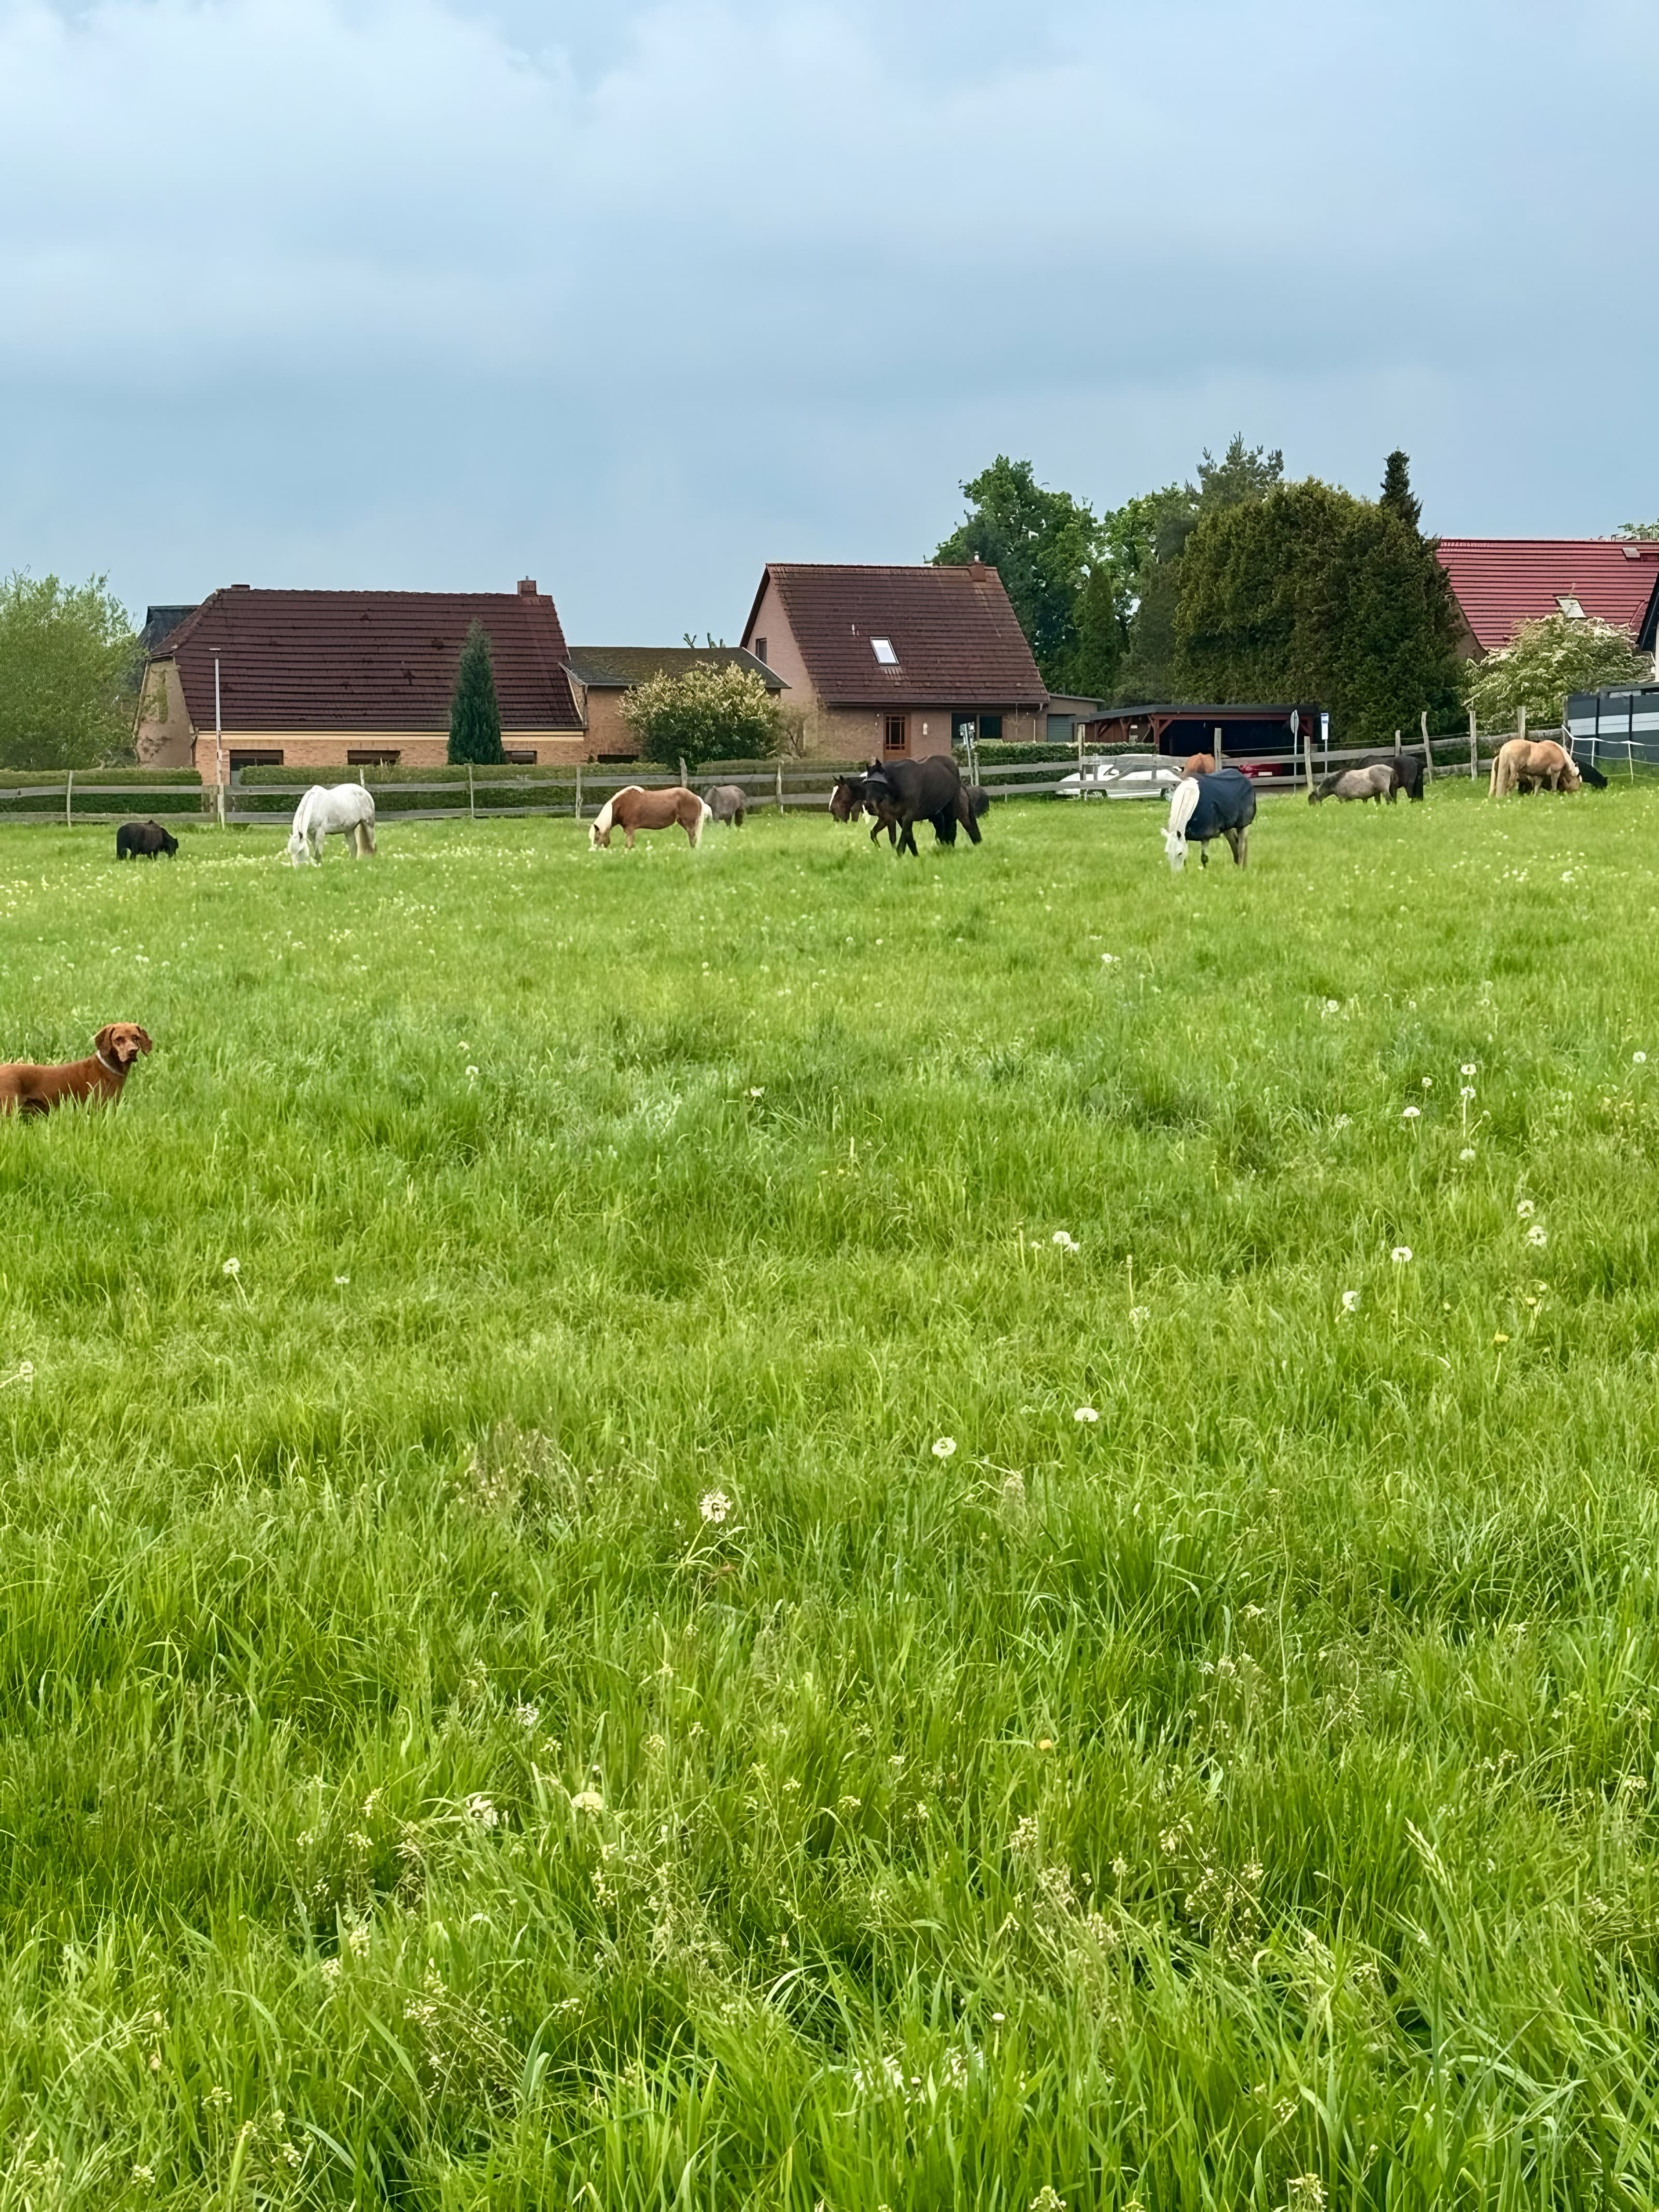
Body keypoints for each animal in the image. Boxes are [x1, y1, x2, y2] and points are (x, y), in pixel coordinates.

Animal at [287, 783, 377, 865]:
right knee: (354, 847)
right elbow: (316, 854)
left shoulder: (320, 834)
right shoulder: (311, 836)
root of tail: (365, 792)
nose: (299, 869)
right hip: (349, 830)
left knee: (372, 847)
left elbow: (318, 855)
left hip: (369, 826)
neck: (314, 805)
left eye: (300, 851)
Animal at [589, 785, 711, 849]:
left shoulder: (630, 829)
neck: (622, 804)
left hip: (689, 825)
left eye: (597, 838)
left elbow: (629, 845)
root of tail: (696, 797)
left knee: (693, 840)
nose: (593, 851)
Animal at [1163, 765, 1256, 871]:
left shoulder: (1205, 837)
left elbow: (1204, 858)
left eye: (1180, 853)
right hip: (1228, 827)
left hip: (1243, 826)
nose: (1176, 874)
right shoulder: (1185, 836)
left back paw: (1241, 869)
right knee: (1235, 844)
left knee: (1242, 846)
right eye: (1167, 853)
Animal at [1310, 763, 1397, 805]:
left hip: (1385, 791)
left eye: (1313, 801)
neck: (1337, 782)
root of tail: (1391, 770)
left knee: (1390, 801)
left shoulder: (1343, 799)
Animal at [1489, 738, 1581, 798]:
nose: (1578, 794)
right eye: (1579, 781)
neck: (1560, 752)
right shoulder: (1556, 773)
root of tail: (1505, 748)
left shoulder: (1540, 776)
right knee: (1509, 786)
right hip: (1513, 773)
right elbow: (1554, 787)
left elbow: (1537, 788)